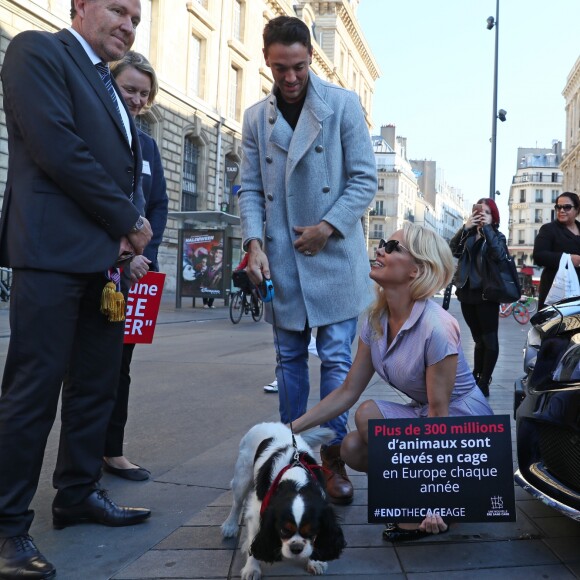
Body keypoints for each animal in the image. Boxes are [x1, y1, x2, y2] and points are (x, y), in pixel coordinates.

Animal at [222, 424, 344, 576]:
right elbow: (254, 537)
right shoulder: (257, 512)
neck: (295, 481)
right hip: (242, 478)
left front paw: (315, 561)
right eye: (284, 530)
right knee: (237, 503)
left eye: (312, 530)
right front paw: (251, 568)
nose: (296, 548)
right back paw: (230, 526)